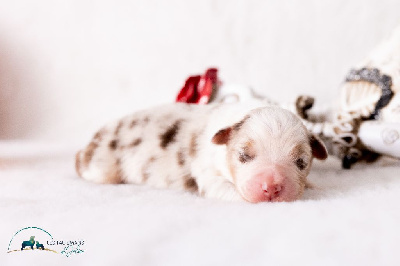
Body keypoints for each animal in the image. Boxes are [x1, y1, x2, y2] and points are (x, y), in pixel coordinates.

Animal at [76, 101, 328, 202]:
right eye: (243, 156)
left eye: (301, 162)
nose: (272, 188)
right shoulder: (207, 173)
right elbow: (226, 190)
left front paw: (315, 185)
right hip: (101, 167)